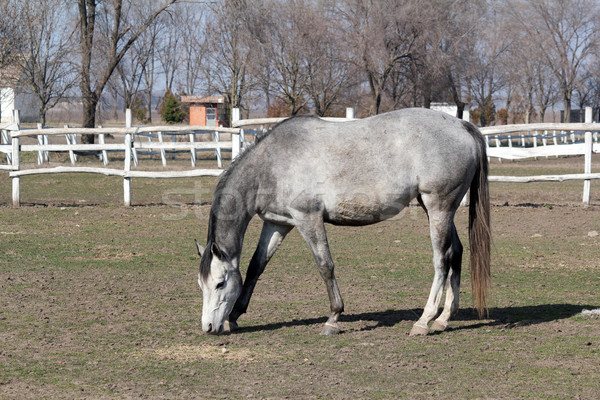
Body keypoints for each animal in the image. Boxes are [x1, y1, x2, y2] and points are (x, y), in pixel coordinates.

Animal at [197, 108, 492, 336]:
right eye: (202, 285)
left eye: (220, 283)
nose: (208, 327)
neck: (274, 163)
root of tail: (462, 126)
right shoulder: (278, 224)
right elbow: (256, 266)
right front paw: (234, 316)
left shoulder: (308, 219)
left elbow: (325, 266)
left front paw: (333, 319)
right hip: (437, 209)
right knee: (456, 252)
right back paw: (444, 319)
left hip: (438, 207)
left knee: (441, 260)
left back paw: (424, 321)